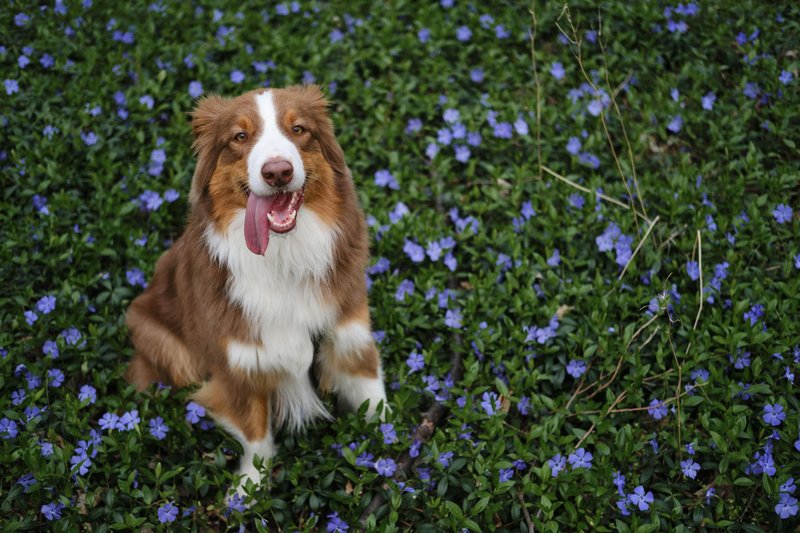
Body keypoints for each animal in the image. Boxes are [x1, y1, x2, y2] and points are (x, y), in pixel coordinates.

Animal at [126, 85, 388, 488]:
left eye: (298, 129)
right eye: (239, 136)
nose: (278, 171)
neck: (284, 259)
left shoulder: (349, 335)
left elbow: (376, 403)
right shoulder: (238, 365)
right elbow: (257, 437)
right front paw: (247, 490)